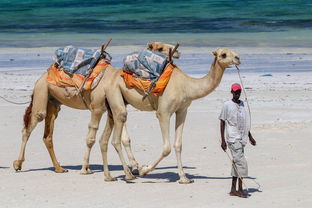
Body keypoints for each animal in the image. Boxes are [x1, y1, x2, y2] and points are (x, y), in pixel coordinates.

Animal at [13, 42, 179, 179]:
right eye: (160, 48)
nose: (177, 52)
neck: (114, 79)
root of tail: (40, 78)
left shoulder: (113, 106)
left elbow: (125, 137)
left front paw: (135, 167)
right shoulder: (97, 108)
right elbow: (91, 137)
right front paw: (85, 169)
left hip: (53, 103)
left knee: (47, 136)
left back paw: (59, 168)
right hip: (42, 94)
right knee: (29, 127)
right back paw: (18, 164)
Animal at [100, 48, 241, 183]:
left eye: (232, 52)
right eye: (223, 54)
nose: (238, 58)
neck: (186, 86)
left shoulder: (182, 110)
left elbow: (178, 145)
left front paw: (184, 178)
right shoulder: (163, 113)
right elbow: (167, 148)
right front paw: (144, 170)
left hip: (119, 100)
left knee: (113, 129)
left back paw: (111, 175)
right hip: (114, 91)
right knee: (116, 136)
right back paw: (129, 175)